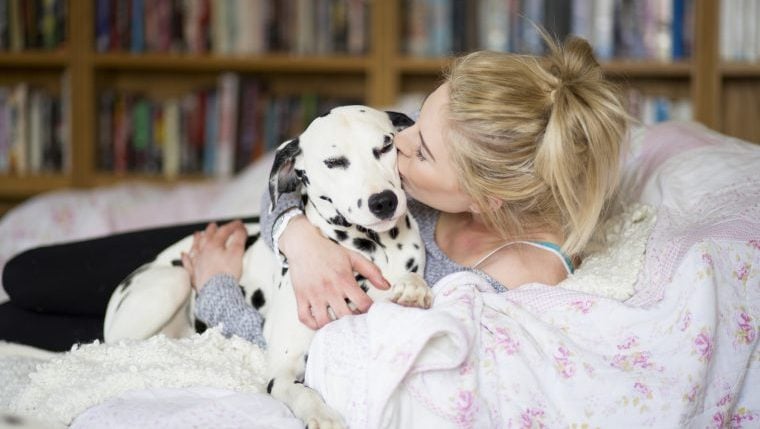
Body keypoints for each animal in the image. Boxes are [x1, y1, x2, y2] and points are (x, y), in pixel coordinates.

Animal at [104, 104, 430, 428]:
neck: (373, 249)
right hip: (170, 285)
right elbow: (304, 393)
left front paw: (413, 287)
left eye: (386, 146)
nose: (384, 201)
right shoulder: (282, 372)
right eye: (334, 162)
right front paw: (322, 415)